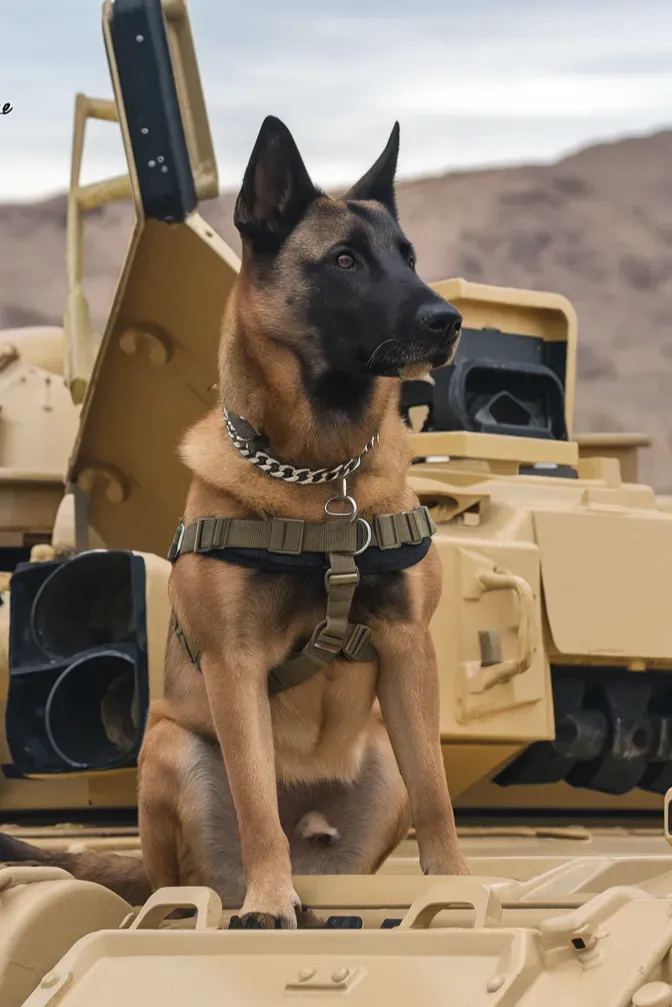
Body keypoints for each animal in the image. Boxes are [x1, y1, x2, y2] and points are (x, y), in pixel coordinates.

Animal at [0, 114, 471, 922]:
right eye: (344, 259)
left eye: (407, 257)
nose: (449, 320)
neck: (322, 478)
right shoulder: (234, 663)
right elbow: (255, 801)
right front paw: (269, 898)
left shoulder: (409, 649)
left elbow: (438, 794)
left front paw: (457, 889)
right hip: (171, 749)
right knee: (201, 871)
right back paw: (246, 898)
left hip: (380, 762)